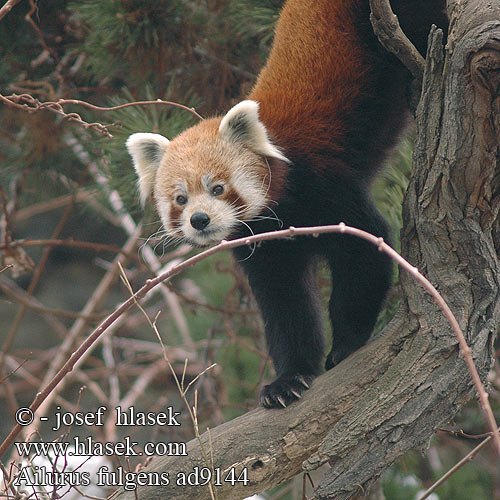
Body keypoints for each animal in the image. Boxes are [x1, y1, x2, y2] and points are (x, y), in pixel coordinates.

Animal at [127, 0, 448, 406]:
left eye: (217, 188)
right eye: (180, 199)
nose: (199, 220)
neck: (280, 210)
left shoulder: (321, 185)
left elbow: (365, 249)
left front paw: (346, 344)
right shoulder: (262, 244)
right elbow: (287, 304)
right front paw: (289, 379)